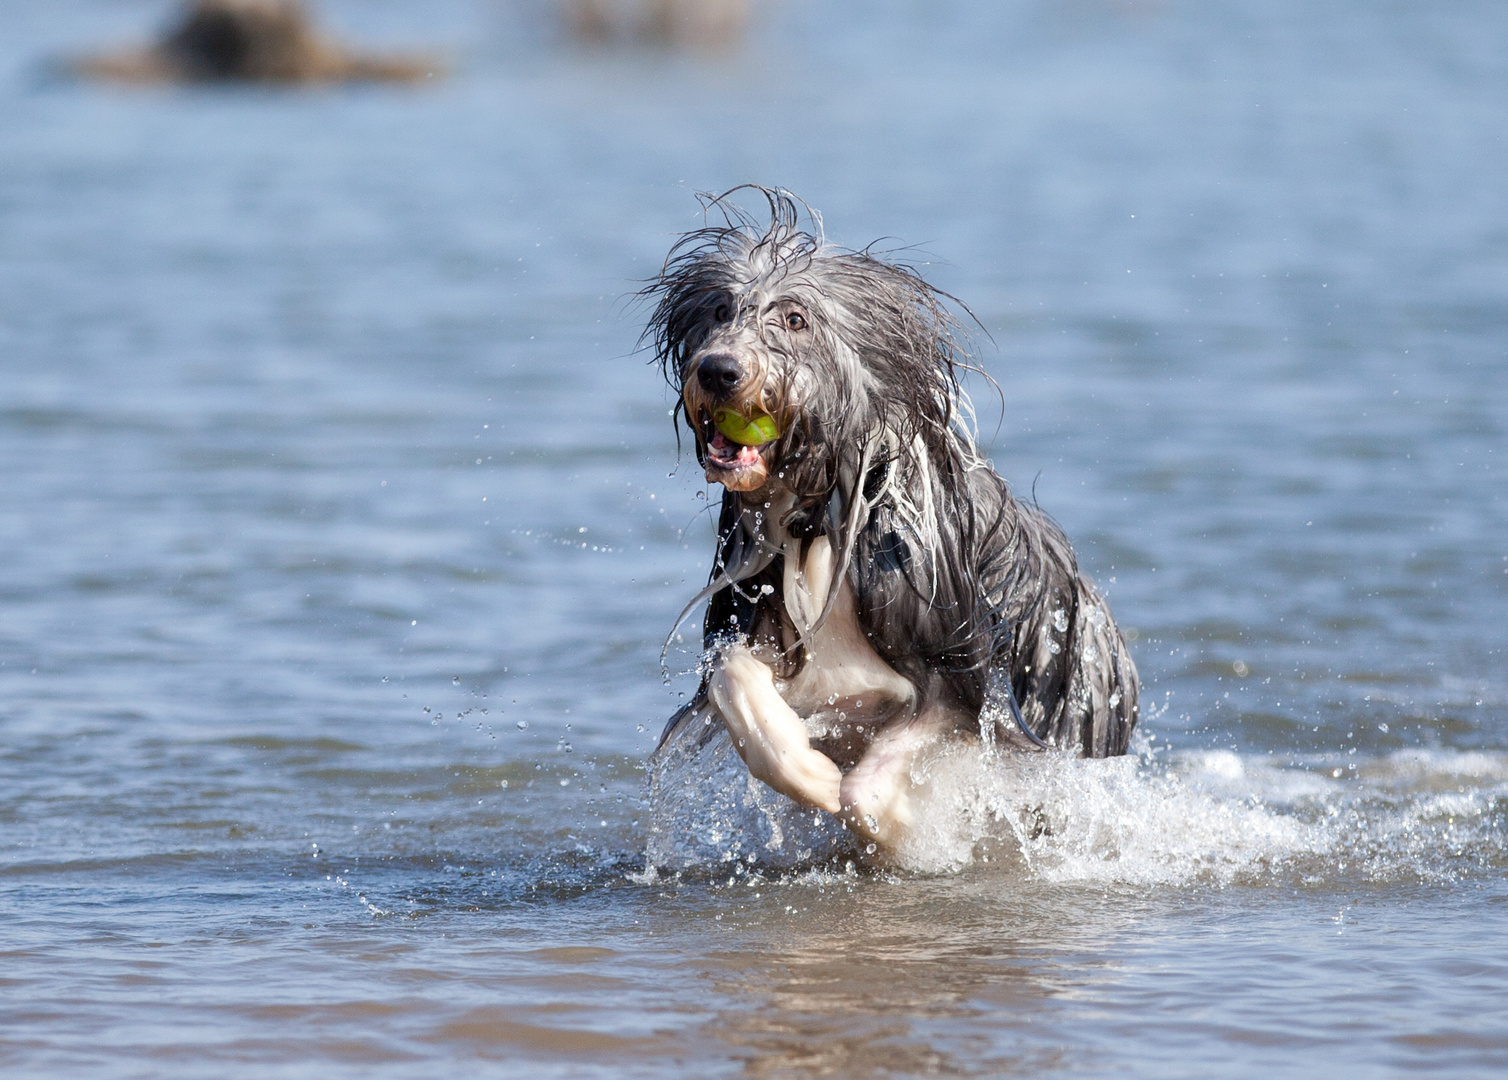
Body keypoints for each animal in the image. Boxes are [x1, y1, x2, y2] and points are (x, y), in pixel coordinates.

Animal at [642, 190, 1134, 856]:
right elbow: (734, 683)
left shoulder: (954, 674)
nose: (719, 370)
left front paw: (891, 824)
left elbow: (868, 792)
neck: (814, 528)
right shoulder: (747, 625)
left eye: (795, 319)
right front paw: (811, 772)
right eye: (720, 309)